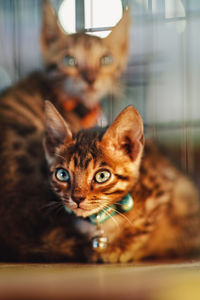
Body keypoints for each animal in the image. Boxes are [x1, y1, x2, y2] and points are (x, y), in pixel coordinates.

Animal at [0, 99, 199, 262]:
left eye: (102, 176)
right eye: (62, 174)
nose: (77, 198)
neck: (101, 219)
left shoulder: (163, 188)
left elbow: (144, 226)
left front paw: (121, 247)